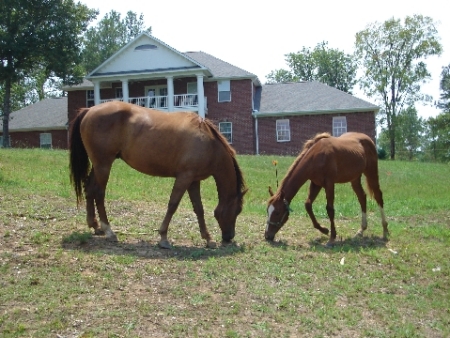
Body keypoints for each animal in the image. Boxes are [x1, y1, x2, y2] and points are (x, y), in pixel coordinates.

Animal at [68, 100, 248, 248]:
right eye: (237, 210)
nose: (229, 237)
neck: (208, 143)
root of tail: (89, 110)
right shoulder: (184, 177)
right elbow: (173, 205)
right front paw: (163, 237)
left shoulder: (193, 181)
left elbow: (199, 208)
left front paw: (208, 238)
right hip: (104, 165)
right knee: (99, 193)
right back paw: (109, 231)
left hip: (98, 165)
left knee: (89, 189)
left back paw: (95, 226)